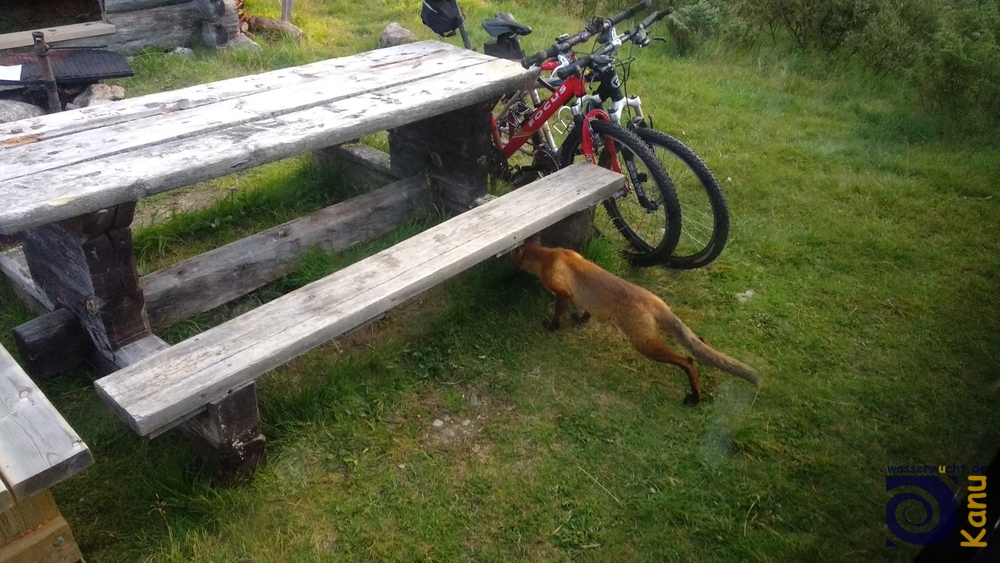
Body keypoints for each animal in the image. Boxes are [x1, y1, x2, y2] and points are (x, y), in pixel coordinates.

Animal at [512, 237, 760, 406]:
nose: (508, 260)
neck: (550, 256)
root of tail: (653, 301)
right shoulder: (584, 293)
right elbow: (587, 312)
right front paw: (581, 320)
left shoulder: (562, 292)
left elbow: (558, 313)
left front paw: (552, 327)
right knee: (700, 342)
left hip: (644, 343)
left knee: (688, 360)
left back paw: (694, 396)